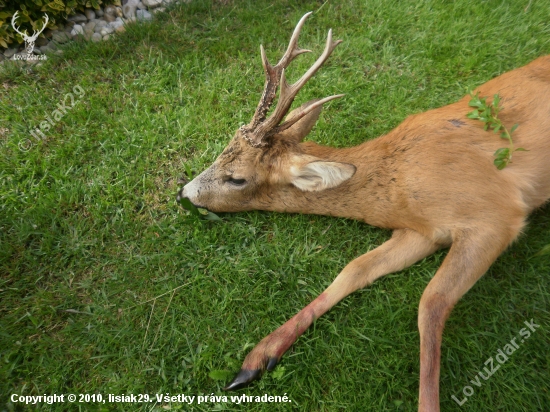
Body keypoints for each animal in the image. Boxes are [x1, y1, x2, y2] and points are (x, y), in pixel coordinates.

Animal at [178, 11, 550, 410]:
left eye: (236, 179)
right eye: (221, 151)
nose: (183, 192)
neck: (396, 187)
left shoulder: (495, 214)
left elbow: (431, 303)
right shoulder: (421, 232)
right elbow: (354, 269)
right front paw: (255, 360)